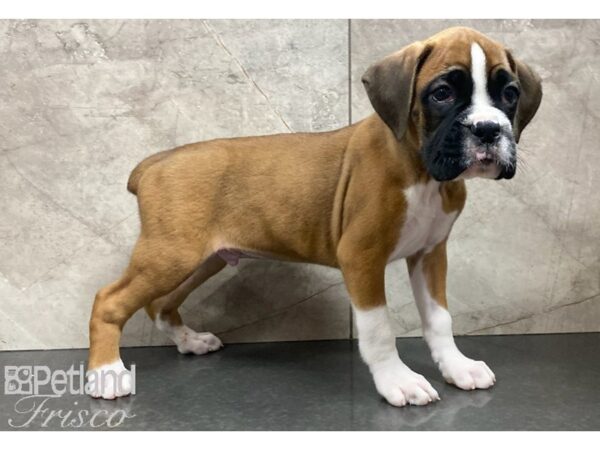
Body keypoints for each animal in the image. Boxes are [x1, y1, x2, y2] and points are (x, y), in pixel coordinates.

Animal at [86, 25, 540, 404]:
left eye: (510, 93)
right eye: (442, 92)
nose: (488, 129)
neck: (423, 171)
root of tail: (155, 161)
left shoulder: (429, 254)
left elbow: (440, 319)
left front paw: (457, 367)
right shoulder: (361, 257)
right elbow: (379, 330)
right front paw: (397, 380)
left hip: (201, 259)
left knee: (159, 304)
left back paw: (189, 341)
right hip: (171, 256)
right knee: (110, 300)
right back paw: (107, 373)